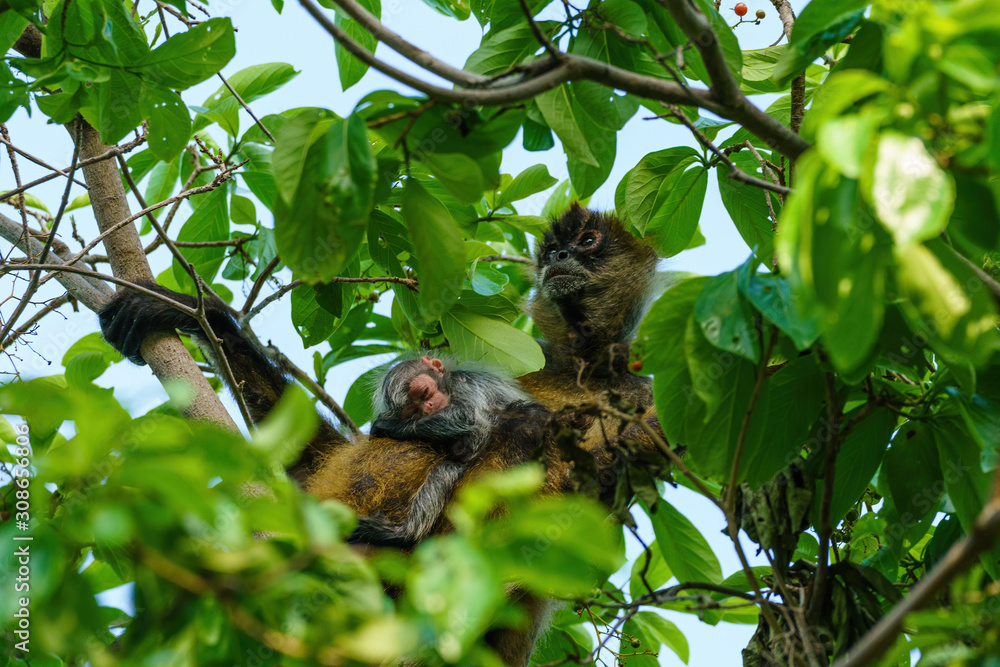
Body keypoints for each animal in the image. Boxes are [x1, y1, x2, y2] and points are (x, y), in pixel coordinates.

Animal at [352, 358, 552, 552]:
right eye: (413, 409)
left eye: (425, 393)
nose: (428, 408)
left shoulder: (463, 380)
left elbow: (468, 415)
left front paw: (391, 426)